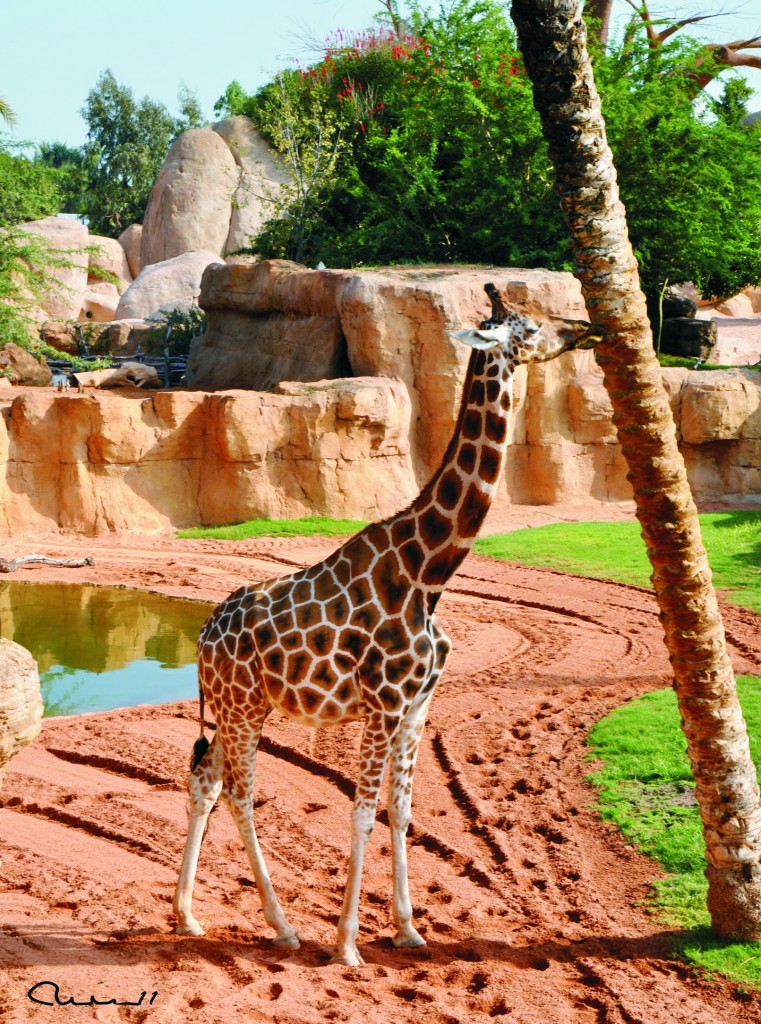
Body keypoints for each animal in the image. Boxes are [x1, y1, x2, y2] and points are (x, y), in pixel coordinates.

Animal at [174, 284, 602, 962]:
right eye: (528, 326)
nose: (583, 327)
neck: (429, 570)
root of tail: (202, 637)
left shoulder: (418, 704)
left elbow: (401, 811)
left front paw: (408, 928)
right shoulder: (382, 704)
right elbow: (362, 810)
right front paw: (347, 944)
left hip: (244, 706)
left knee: (205, 779)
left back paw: (188, 916)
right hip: (241, 707)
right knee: (239, 792)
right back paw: (284, 927)